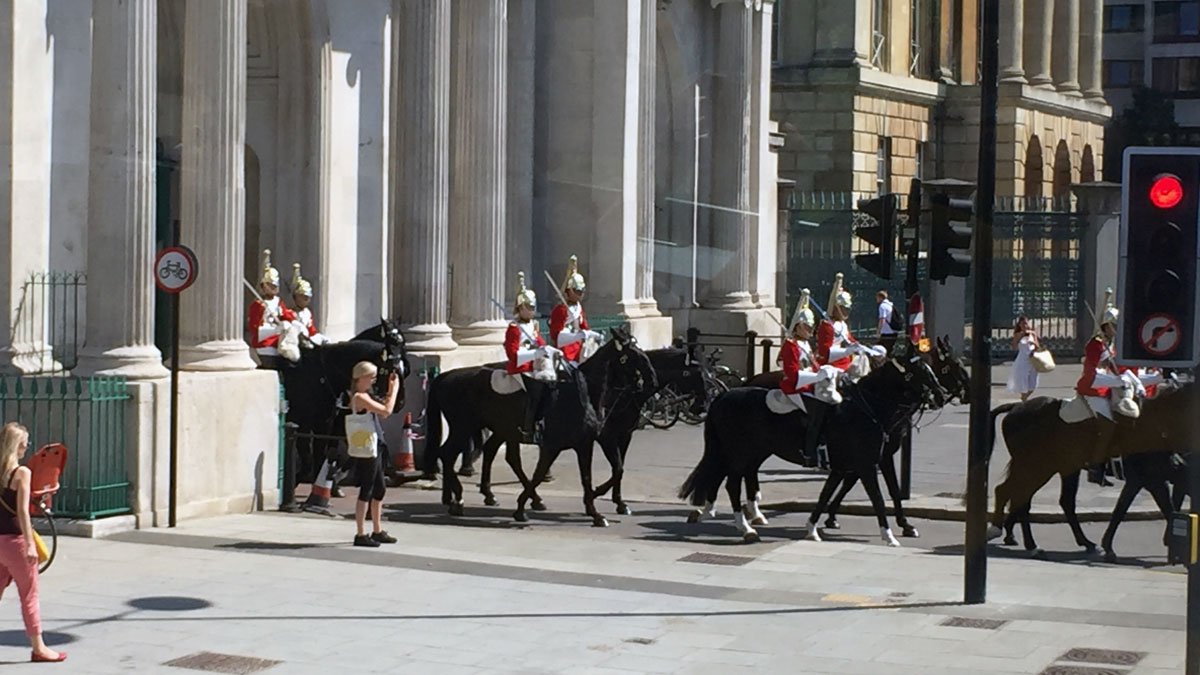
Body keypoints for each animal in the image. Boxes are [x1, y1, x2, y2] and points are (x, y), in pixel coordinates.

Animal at [681, 345, 940, 540]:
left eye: (932, 366)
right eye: (919, 370)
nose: (940, 394)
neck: (868, 408)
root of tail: (724, 395)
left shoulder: (852, 464)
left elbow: (829, 494)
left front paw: (814, 527)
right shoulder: (867, 465)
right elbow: (876, 497)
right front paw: (889, 534)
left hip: (747, 451)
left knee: (728, 476)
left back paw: (721, 513)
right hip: (739, 452)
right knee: (732, 483)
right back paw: (744, 526)